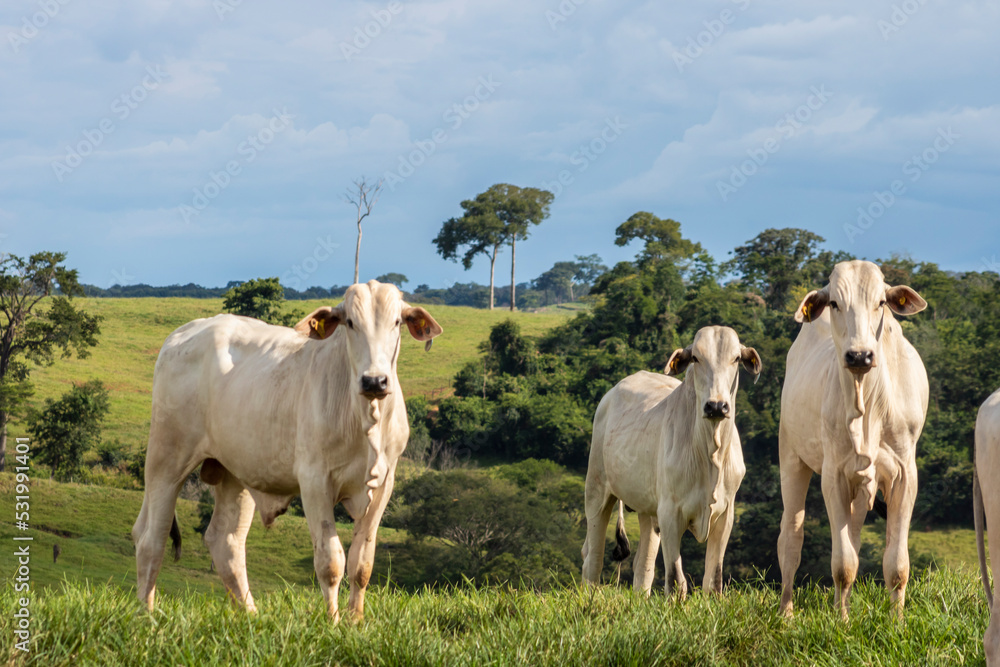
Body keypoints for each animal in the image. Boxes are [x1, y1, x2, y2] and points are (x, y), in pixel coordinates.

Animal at [131, 280, 442, 621]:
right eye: (350, 323)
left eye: (396, 322)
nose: (375, 380)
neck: (364, 417)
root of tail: (184, 333)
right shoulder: (314, 481)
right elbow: (330, 561)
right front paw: (332, 621)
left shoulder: (385, 481)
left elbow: (362, 562)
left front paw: (356, 621)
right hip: (166, 457)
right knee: (151, 537)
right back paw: (147, 614)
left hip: (234, 473)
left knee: (225, 541)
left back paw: (251, 614)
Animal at [582, 326, 762, 596]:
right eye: (696, 358)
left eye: (736, 358)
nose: (716, 406)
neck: (710, 453)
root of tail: (611, 394)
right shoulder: (670, 513)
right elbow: (676, 580)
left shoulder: (725, 514)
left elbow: (714, 580)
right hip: (596, 489)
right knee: (593, 557)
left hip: (647, 509)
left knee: (643, 564)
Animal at [777, 260, 928, 620]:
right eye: (834, 303)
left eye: (881, 302)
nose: (860, 356)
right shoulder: (833, 475)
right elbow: (843, 564)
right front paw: (841, 622)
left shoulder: (905, 473)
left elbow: (896, 564)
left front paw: (896, 621)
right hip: (791, 456)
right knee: (791, 536)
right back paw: (786, 613)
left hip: (863, 484)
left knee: (854, 534)